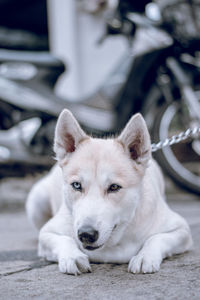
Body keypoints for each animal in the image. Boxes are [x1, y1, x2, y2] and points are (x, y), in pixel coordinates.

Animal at [26, 109, 192, 276]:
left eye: (114, 187)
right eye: (77, 185)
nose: (86, 234)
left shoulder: (182, 229)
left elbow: (156, 238)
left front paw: (145, 256)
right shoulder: (47, 233)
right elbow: (64, 239)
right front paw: (72, 256)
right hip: (37, 202)